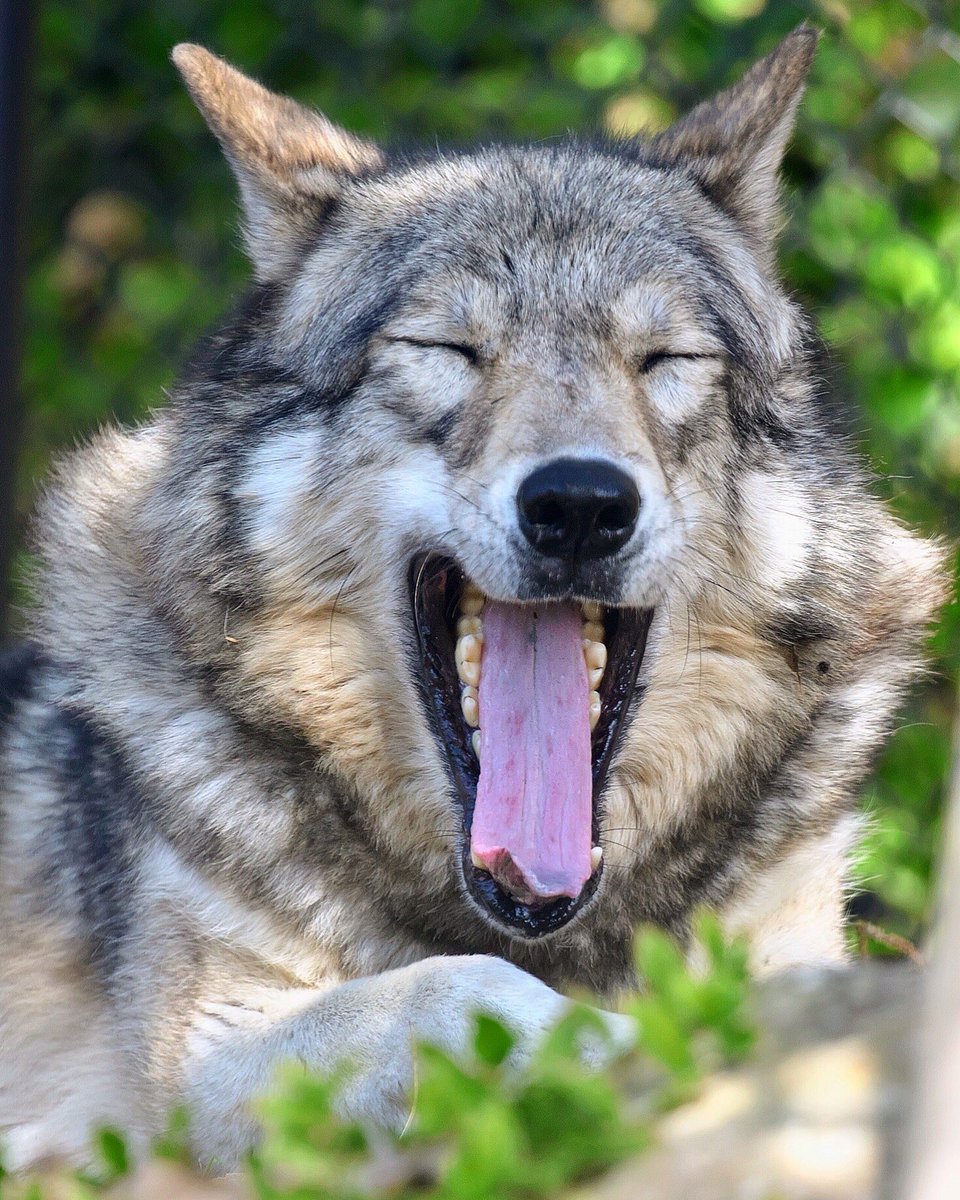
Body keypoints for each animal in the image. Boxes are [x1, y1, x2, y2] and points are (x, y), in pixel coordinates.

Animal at [0, 25, 945, 1171]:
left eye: (664, 360)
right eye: (448, 349)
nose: (580, 504)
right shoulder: (189, 1071)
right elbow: (450, 987)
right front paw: (614, 1040)